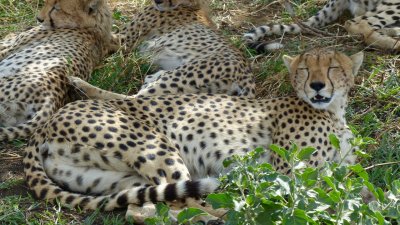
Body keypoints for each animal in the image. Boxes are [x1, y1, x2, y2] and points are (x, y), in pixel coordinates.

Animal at [23, 48, 364, 222]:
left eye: (333, 68)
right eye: (304, 70)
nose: (317, 86)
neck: (333, 111)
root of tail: (46, 124)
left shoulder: (339, 171)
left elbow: (355, 191)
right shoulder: (289, 173)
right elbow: (313, 197)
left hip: (113, 178)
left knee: (150, 206)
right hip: (153, 145)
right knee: (182, 199)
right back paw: (223, 213)